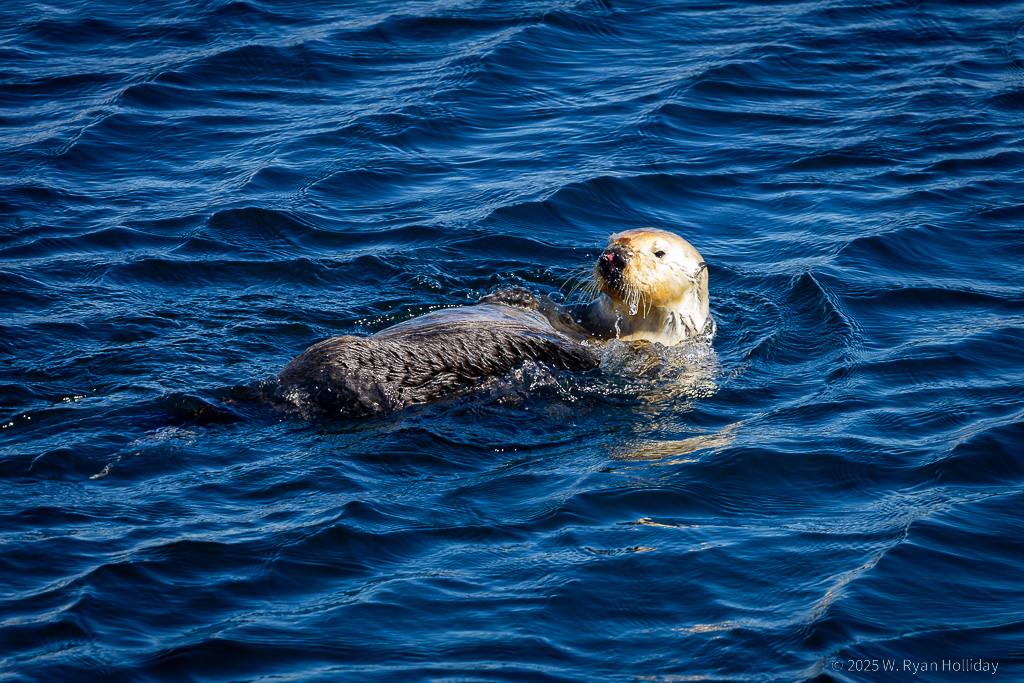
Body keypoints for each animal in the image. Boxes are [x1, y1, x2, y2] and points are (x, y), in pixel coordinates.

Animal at [268, 229, 710, 418]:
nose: (612, 259)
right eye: (612, 241)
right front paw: (519, 299)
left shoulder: (642, 355)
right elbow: (525, 302)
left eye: (658, 253)